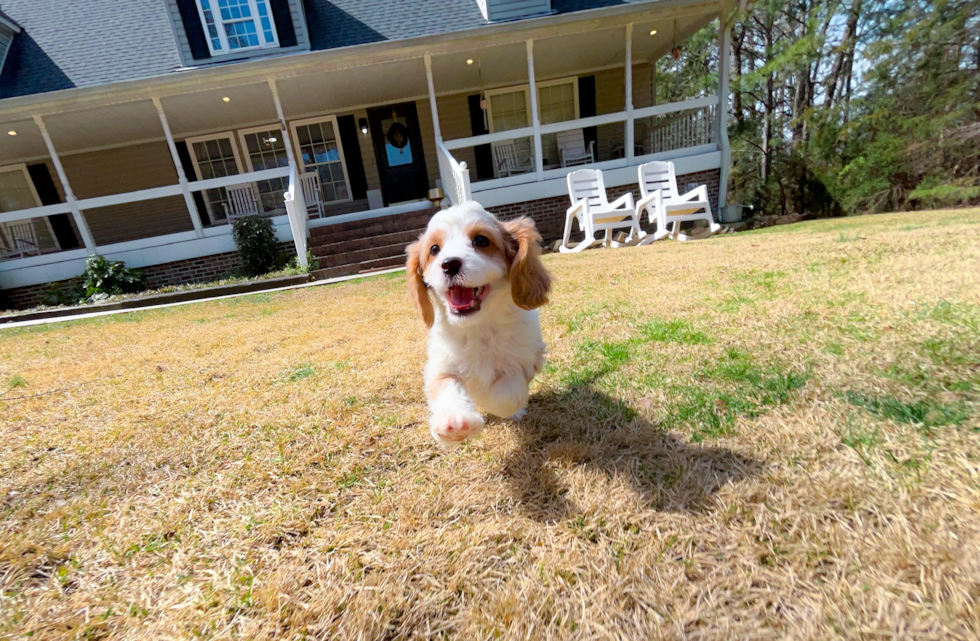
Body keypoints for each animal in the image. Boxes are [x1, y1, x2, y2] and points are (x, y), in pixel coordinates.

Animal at [404, 200, 552, 444]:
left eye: (481, 240)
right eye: (434, 249)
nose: (449, 264)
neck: (477, 326)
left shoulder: (527, 358)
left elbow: (506, 395)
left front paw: (487, 397)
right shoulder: (441, 364)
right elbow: (445, 385)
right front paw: (455, 423)